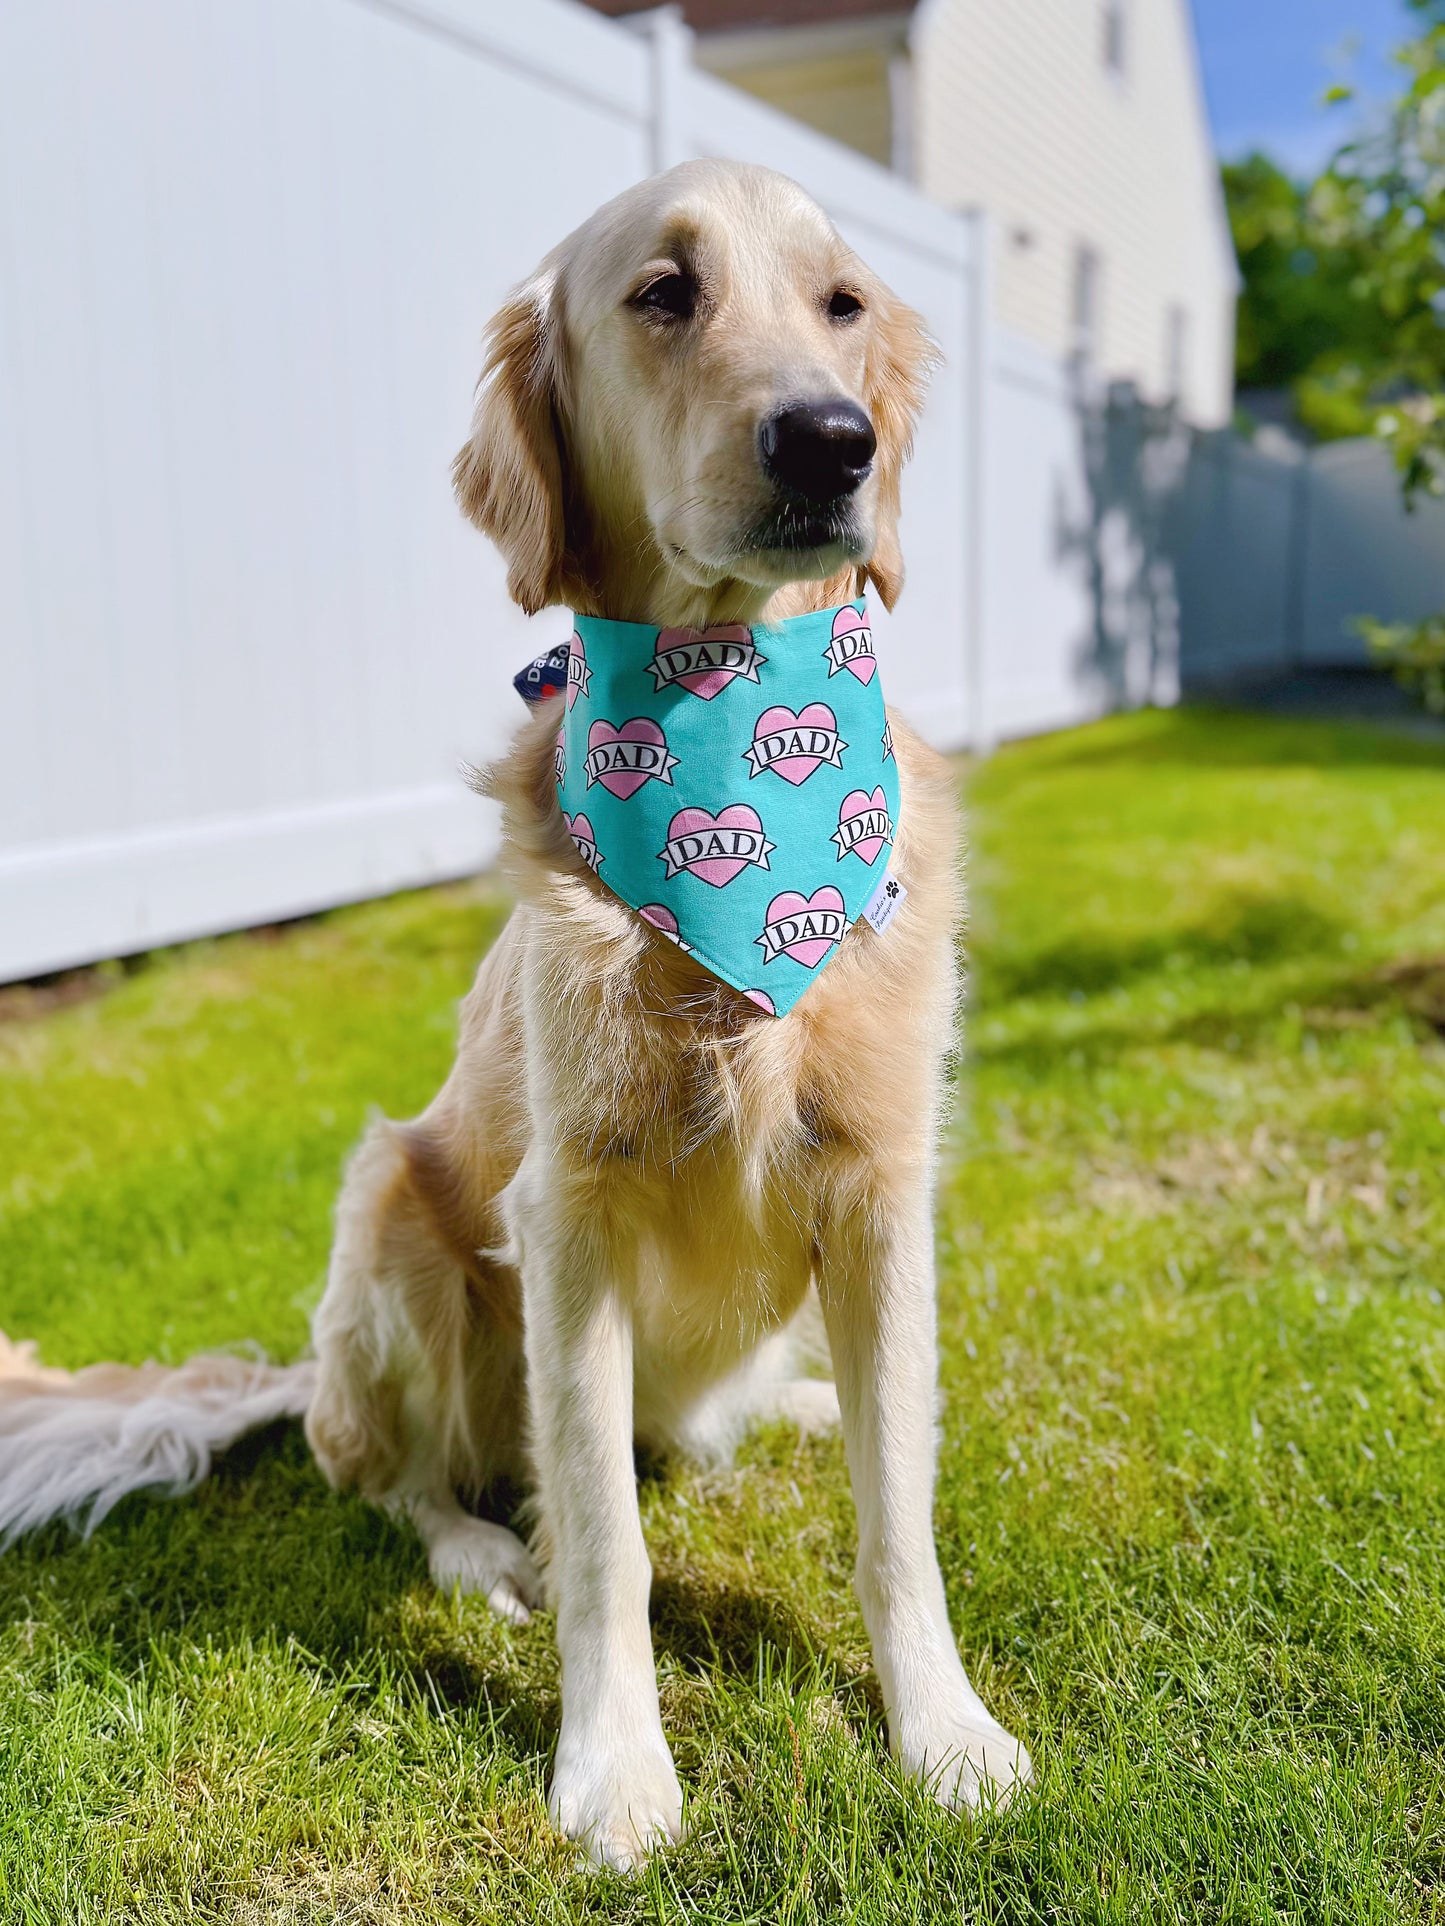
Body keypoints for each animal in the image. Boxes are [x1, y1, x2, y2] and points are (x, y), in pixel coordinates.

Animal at [5, 161, 1032, 1864]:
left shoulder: (883, 1192)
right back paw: (480, 1550)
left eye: (842, 307)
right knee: (408, 1480)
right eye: (665, 293)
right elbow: (606, 1537)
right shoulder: (568, 1214)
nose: (833, 440)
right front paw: (613, 1768)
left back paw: (791, 1403)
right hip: (395, 1223)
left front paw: (942, 1730)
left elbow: (900, 1511)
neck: (735, 725)